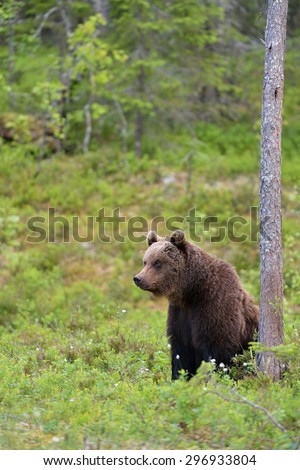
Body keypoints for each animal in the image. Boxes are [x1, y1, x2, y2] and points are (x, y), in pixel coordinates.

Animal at [133, 229, 258, 380]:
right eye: (145, 261)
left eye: (157, 262)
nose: (138, 278)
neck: (192, 291)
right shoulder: (180, 313)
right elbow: (181, 350)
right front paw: (179, 377)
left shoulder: (214, 305)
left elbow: (217, 349)